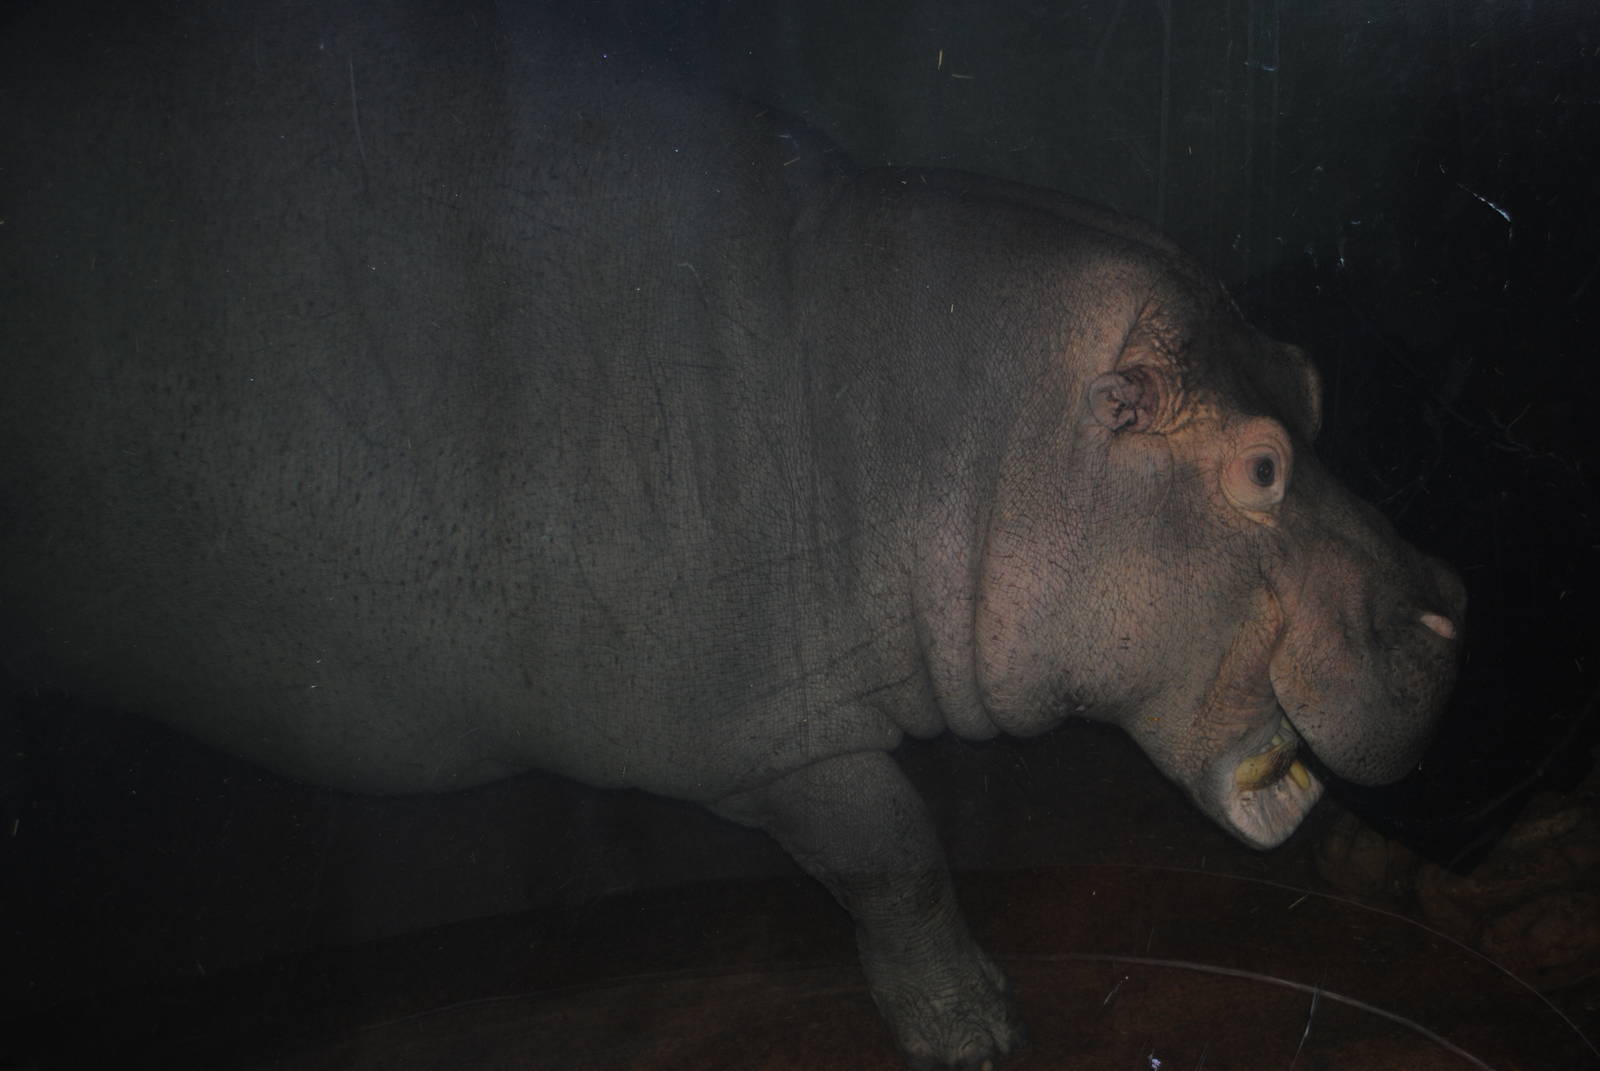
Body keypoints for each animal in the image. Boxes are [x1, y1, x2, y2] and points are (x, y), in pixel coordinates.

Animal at [0, 2, 1464, 1067]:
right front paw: (976, 1031)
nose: (1454, 611)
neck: (928, 429)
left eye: (1312, 379)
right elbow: (894, 854)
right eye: (1260, 465)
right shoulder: (769, 733)